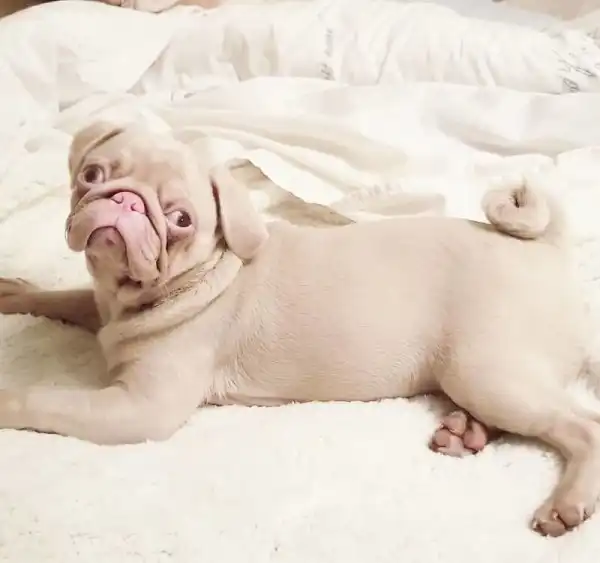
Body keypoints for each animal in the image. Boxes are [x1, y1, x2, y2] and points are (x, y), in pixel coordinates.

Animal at [0, 121, 596, 537]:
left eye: (180, 220)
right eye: (92, 176)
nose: (123, 201)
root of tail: (547, 246)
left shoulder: (139, 408)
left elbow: (49, 398)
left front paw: (8, 398)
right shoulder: (99, 308)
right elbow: (65, 299)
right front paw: (17, 293)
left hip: (485, 369)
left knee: (579, 425)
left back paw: (566, 503)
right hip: (477, 375)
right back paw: (465, 432)